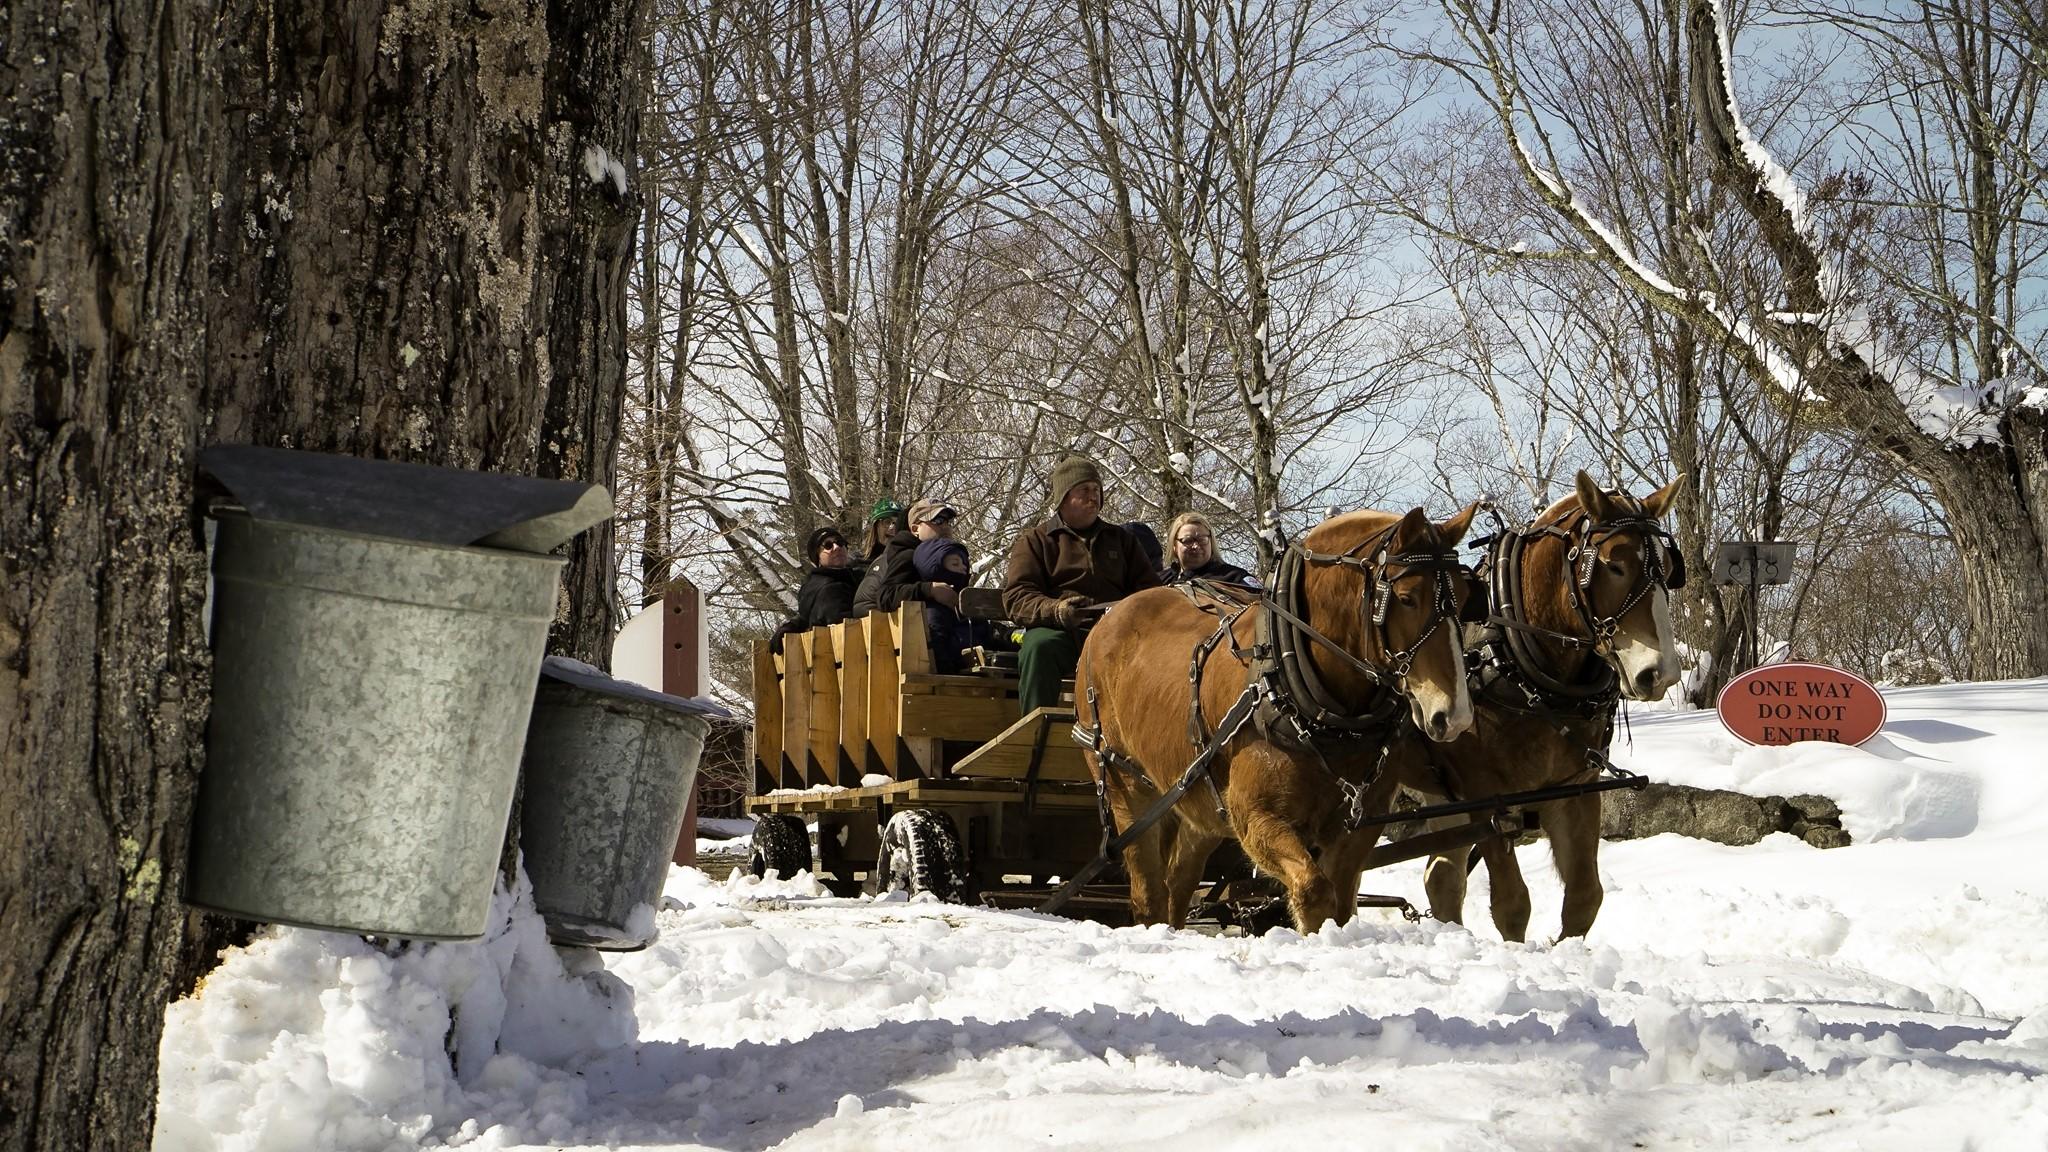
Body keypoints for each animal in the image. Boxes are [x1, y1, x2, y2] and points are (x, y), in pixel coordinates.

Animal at [1073, 504, 1490, 934]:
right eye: (1406, 599)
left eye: (1464, 600)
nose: (1453, 714)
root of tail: (1109, 617)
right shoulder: (1257, 816)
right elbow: (1314, 891)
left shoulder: (1359, 827)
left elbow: (1342, 903)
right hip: (1124, 784)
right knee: (1148, 893)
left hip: (1196, 796)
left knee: (1178, 883)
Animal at [1392, 471, 1679, 938]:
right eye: (1614, 565)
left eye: (1670, 571)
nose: (1662, 674)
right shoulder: (1484, 795)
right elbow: (1512, 903)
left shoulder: (1576, 788)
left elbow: (1584, 897)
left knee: (1442, 877)